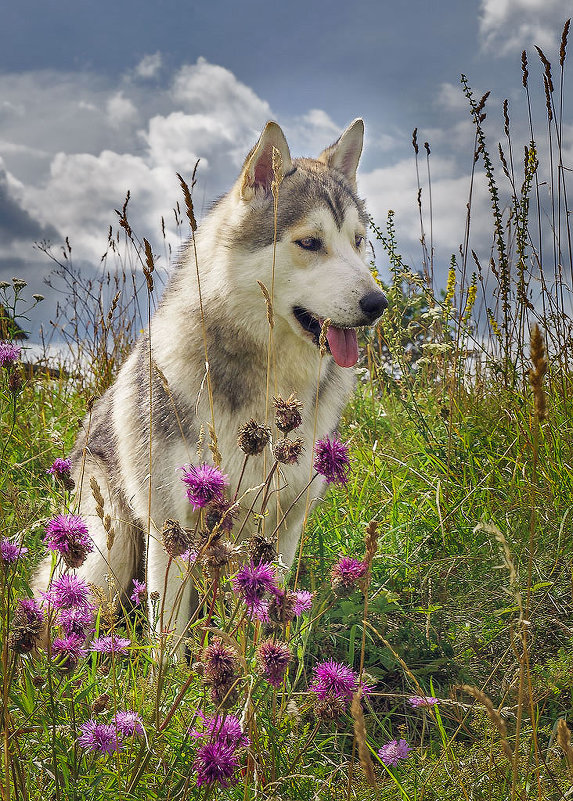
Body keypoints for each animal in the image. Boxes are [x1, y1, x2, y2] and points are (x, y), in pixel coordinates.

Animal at [34, 119, 384, 640]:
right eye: (310, 243)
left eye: (358, 241)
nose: (378, 304)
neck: (268, 387)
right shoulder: (171, 528)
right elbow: (168, 639)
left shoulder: (284, 524)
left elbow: (267, 613)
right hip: (106, 557)